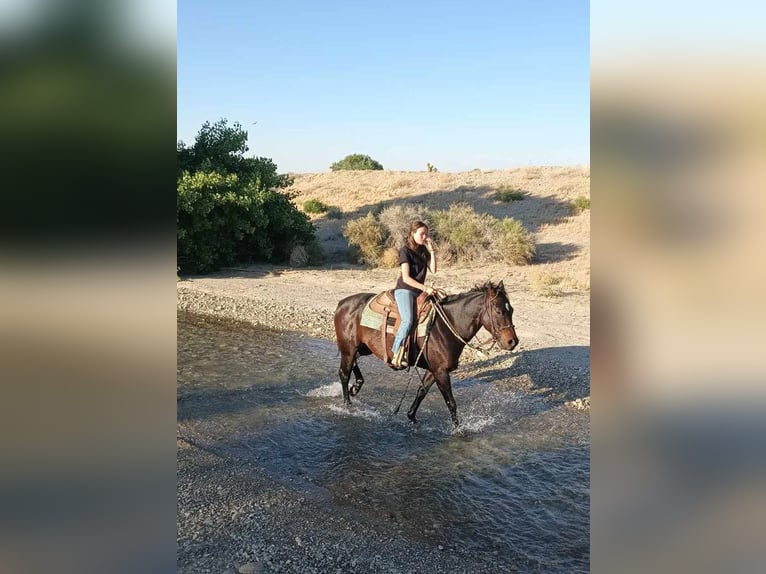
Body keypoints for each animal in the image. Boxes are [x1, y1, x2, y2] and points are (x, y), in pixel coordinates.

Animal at [333, 280, 519, 428]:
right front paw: (458, 430)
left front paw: (411, 417)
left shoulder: (434, 369)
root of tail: (342, 303)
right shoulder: (441, 372)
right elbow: (451, 402)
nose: (512, 342)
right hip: (349, 349)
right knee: (344, 374)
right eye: (499, 311)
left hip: (363, 348)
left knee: (353, 365)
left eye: (511, 310)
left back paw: (356, 386)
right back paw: (348, 404)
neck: (445, 326)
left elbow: (421, 391)